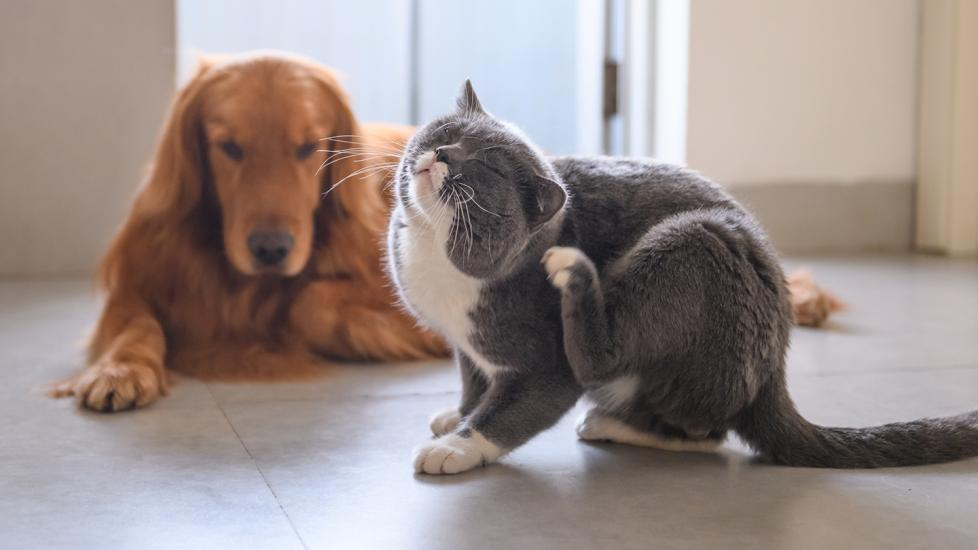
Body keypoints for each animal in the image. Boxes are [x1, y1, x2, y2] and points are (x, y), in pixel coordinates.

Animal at [53, 52, 446, 414]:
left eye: (308, 147)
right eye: (229, 147)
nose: (270, 249)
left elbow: (309, 302)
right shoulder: (136, 283)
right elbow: (136, 324)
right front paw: (120, 370)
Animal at [386, 80, 976, 476]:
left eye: (484, 168)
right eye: (448, 132)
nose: (441, 154)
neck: (433, 253)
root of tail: (775, 369)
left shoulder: (543, 363)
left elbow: (514, 409)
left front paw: (456, 448)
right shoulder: (467, 346)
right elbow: (473, 383)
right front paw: (456, 416)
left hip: (692, 244)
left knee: (693, 424)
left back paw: (582, 305)